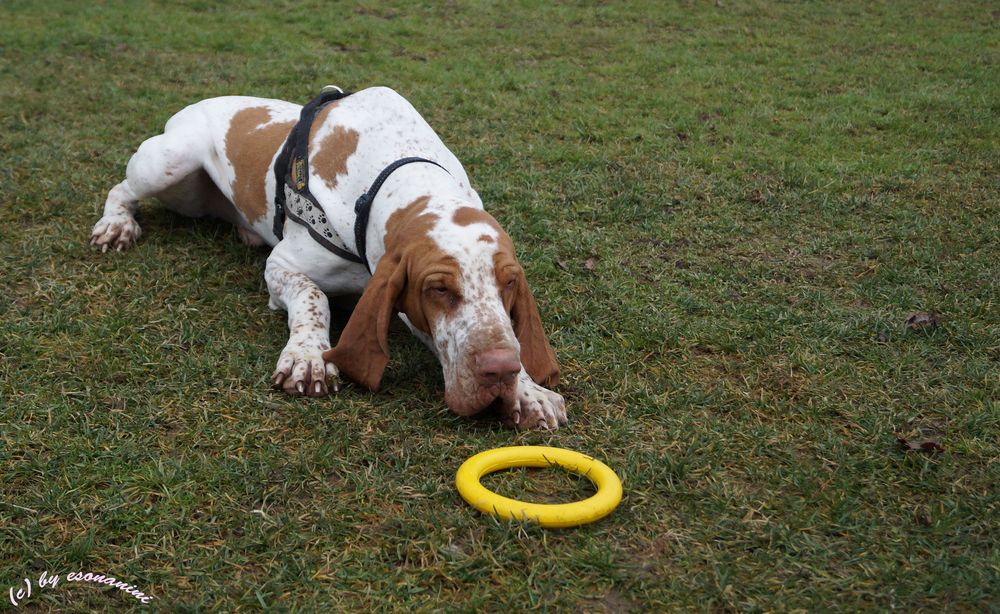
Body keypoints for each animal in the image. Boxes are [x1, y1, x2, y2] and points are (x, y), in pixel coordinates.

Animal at [93, 86, 568, 430]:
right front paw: (307, 356)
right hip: (169, 163)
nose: (499, 371)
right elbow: (312, 298)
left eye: (509, 283)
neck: (393, 175)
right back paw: (116, 224)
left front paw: (528, 390)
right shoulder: (282, 266)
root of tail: (194, 104)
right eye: (437, 288)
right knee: (122, 188)